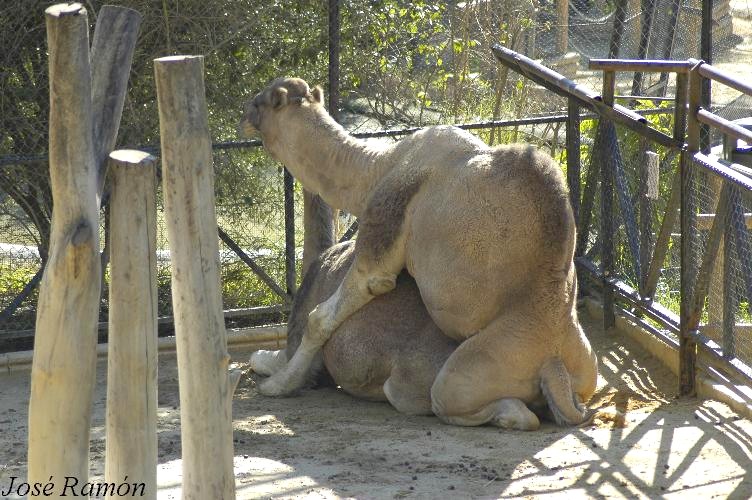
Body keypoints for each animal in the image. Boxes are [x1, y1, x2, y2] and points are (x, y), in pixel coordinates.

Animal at [241, 77, 600, 426]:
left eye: (262, 101)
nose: (243, 115)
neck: (378, 168)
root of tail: (554, 364)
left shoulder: (383, 232)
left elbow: (324, 314)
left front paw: (277, 385)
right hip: (586, 367)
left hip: (492, 357)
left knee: (463, 400)